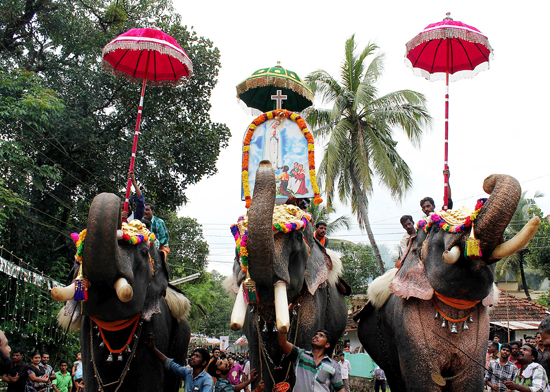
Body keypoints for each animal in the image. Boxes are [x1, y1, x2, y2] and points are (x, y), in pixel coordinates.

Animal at [227, 160, 350, 392]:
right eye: (239, 243)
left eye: (298, 237)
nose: (265, 162)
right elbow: (258, 355)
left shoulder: (313, 296)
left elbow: (302, 348)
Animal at [356, 175, 540, 392]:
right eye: (436, 228)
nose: (487, 181)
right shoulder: (408, 326)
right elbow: (425, 382)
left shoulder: (481, 334)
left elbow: (469, 382)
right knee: (394, 376)